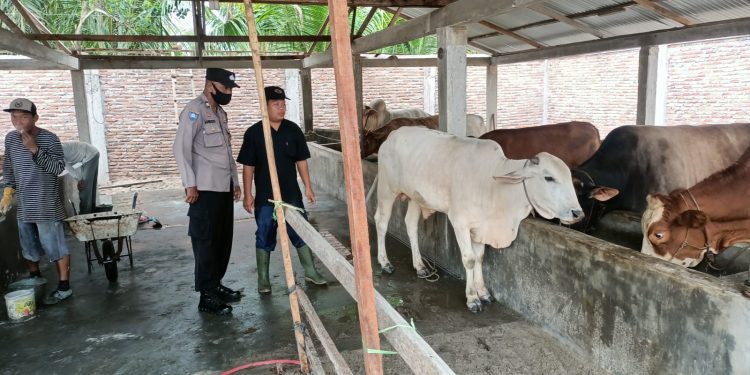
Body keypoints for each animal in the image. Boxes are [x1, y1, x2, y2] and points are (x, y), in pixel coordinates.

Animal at [376, 128, 588, 312]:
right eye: (548, 178)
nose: (577, 213)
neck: (492, 184)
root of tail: (392, 135)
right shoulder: (460, 222)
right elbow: (469, 259)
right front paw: (472, 299)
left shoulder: (481, 226)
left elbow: (480, 257)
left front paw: (483, 293)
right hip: (387, 189)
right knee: (381, 223)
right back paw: (385, 263)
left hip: (414, 197)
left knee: (411, 225)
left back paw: (420, 267)